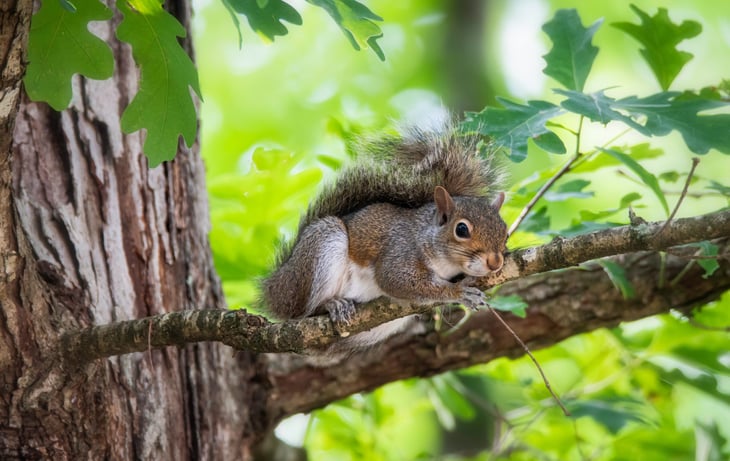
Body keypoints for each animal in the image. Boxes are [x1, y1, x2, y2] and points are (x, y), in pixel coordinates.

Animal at [261, 122, 508, 352]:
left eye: (505, 232)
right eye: (461, 230)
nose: (495, 262)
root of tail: (276, 288)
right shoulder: (400, 250)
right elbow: (394, 279)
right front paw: (459, 292)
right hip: (322, 246)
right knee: (307, 312)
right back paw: (332, 305)